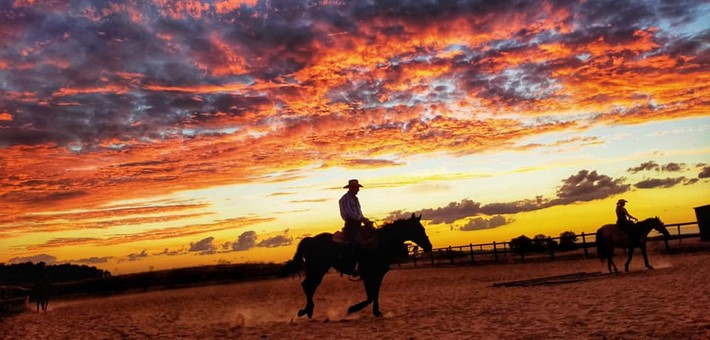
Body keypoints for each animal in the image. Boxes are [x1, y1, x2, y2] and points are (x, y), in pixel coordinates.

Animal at [286, 215, 434, 318]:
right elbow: (370, 296)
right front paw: (352, 308)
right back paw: (306, 311)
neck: (380, 244)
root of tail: (310, 239)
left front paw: (377, 312)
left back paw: (307, 311)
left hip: (317, 270)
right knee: (308, 285)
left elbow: (375, 294)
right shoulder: (369, 274)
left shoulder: (378, 275)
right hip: (318, 269)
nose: (429, 246)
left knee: (309, 286)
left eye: (423, 228)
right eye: (418, 229)